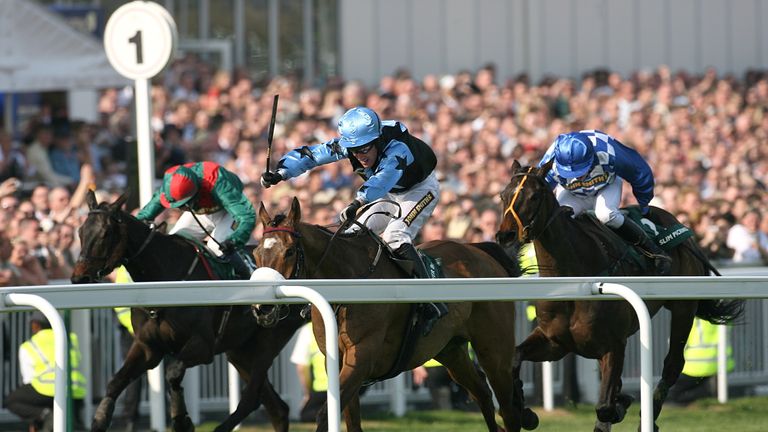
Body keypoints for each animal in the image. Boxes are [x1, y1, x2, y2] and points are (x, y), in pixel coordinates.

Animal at [70, 192, 306, 432]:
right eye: (80, 231)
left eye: (105, 233)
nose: (79, 277)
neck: (165, 277)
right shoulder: (147, 347)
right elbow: (115, 382)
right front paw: (99, 420)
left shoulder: (203, 345)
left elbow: (173, 373)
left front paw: (181, 419)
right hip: (240, 350)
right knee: (277, 408)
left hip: (268, 340)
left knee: (253, 399)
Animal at [252, 198, 536, 432]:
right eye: (256, 253)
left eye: (289, 251)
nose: (262, 308)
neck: (349, 281)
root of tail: (484, 254)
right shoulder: (338, 360)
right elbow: (352, 421)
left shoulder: (362, 357)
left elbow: (325, 415)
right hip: (451, 350)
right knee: (482, 394)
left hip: (494, 349)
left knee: (509, 410)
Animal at [496, 161, 740, 432]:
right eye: (503, 195)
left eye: (534, 196)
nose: (505, 236)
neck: (574, 278)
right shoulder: (556, 342)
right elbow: (515, 358)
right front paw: (524, 411)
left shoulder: (613, 345)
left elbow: (605, 407)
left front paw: (621, 405)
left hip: (683, 308)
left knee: (673, 364)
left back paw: (649, 416)